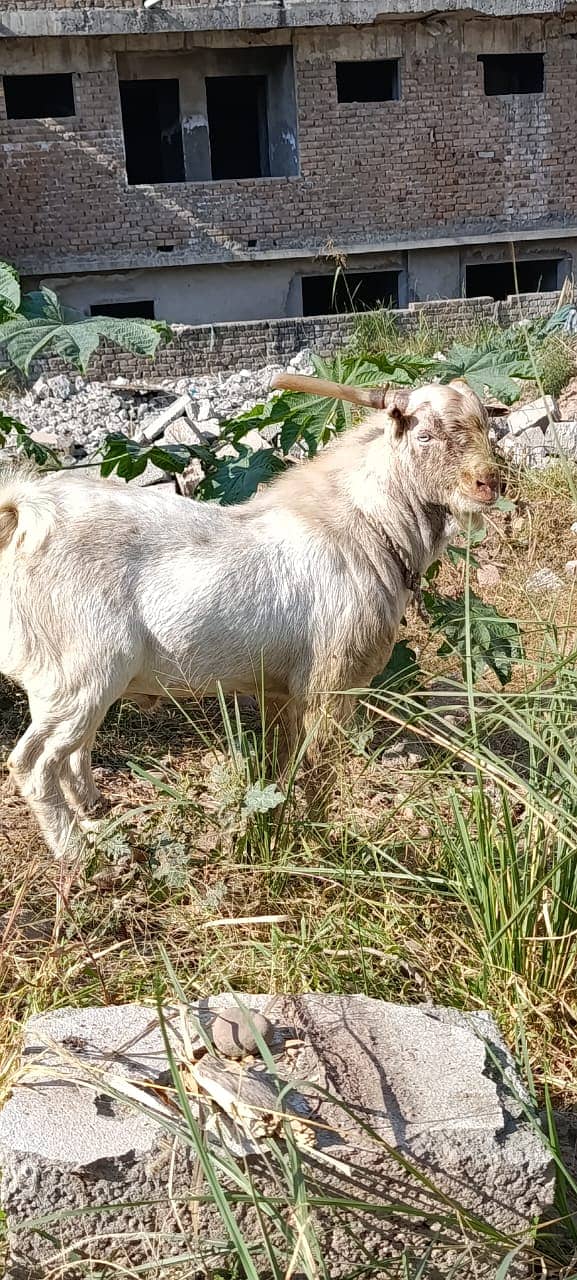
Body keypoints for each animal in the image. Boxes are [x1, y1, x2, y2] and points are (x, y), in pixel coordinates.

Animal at [0, 373, 501, 855]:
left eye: (484, 426)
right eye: (424, 434)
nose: (489, 483)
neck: (366, 529)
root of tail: (27, 520)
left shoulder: (278, 690)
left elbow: (280, 767)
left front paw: (278, 829)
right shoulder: (329, 684)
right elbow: (318, 771)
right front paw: (321, 843)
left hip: (74, 685)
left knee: (72, 755)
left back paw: (96, 815)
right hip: (82, 672)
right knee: (33, 764)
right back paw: (75, 854)